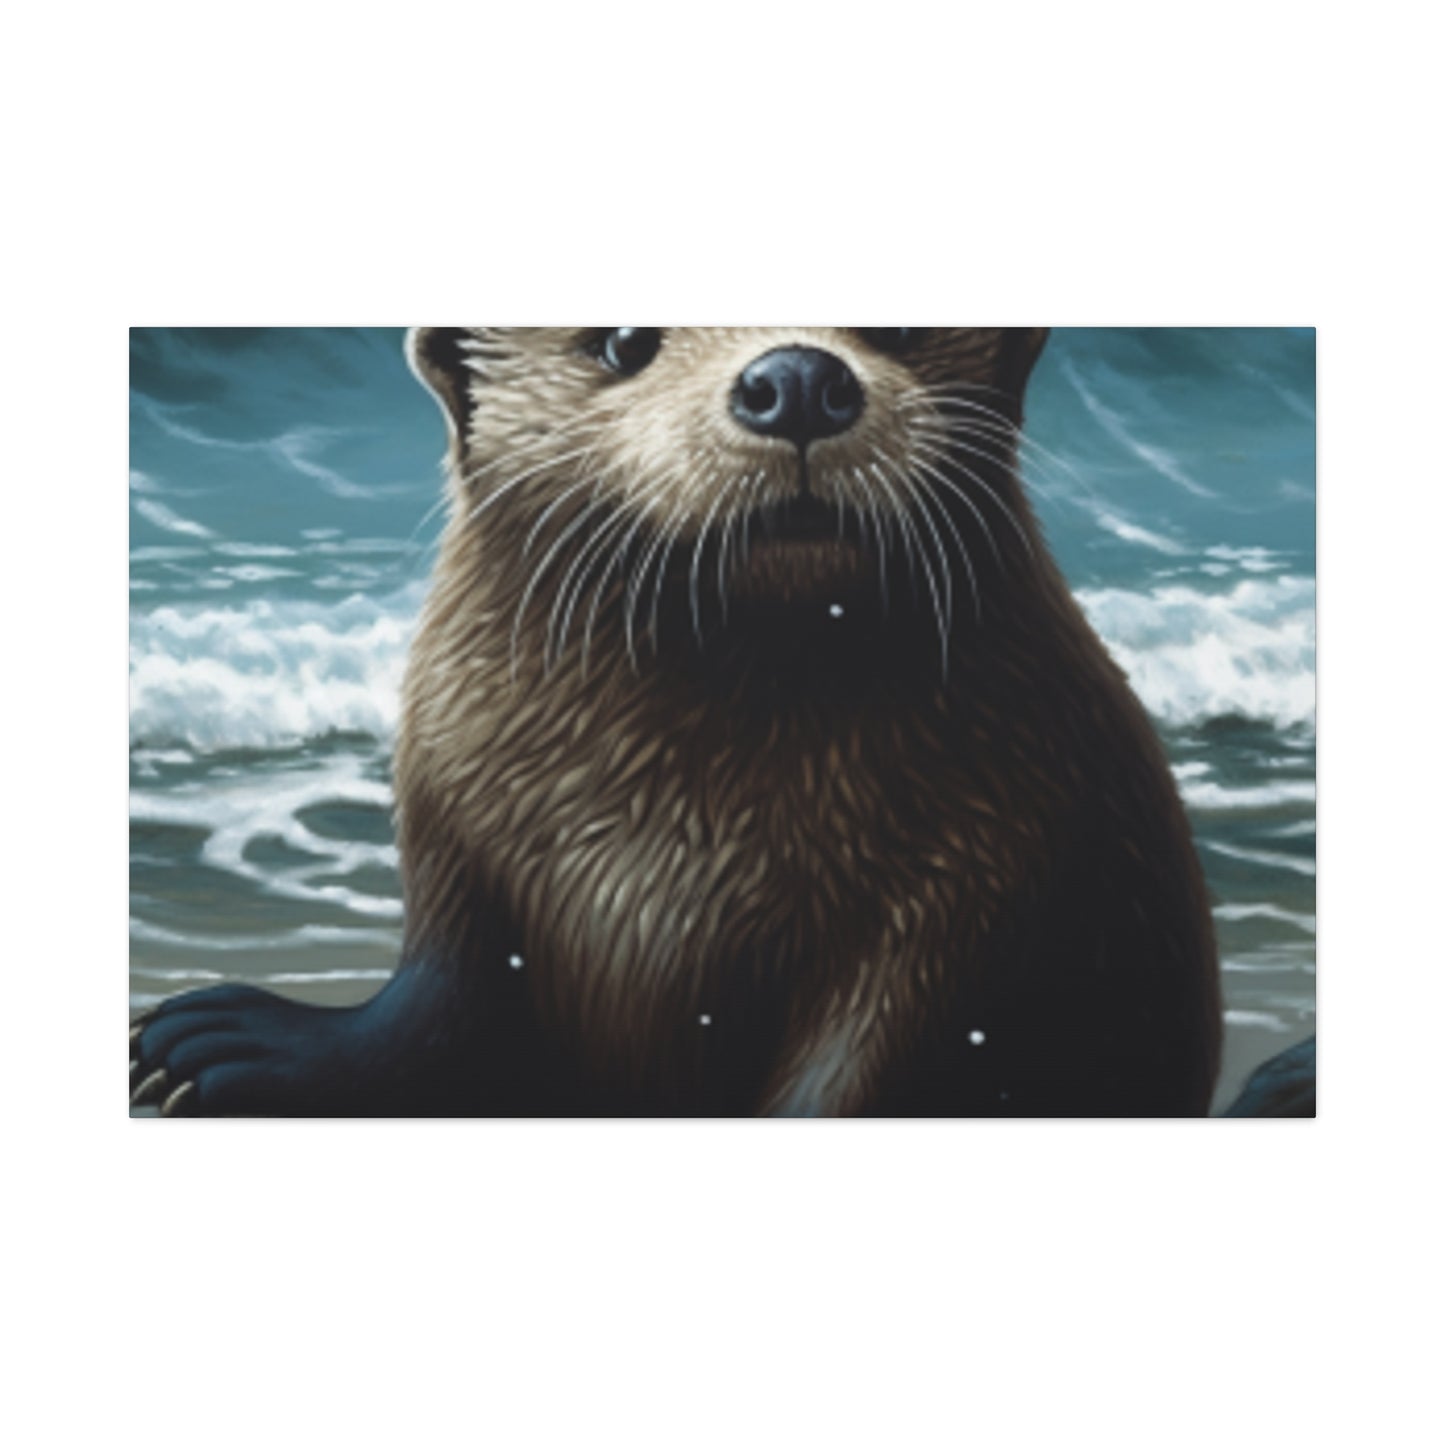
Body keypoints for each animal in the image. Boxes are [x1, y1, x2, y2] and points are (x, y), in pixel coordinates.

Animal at [130, 327, 1221, 1117]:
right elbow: (434, 1009)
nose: (796, 377)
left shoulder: (977, 893)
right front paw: (225, 1042)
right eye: (623, 342)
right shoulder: (465, 847)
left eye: (900, 325)